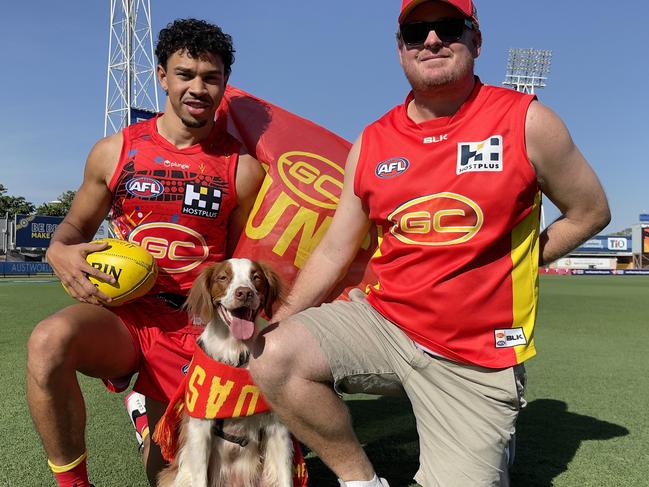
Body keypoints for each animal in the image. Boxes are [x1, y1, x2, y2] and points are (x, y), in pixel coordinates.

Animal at [156, 258, 292, 486]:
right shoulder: (199, 428)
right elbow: (200, 478)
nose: (244, 293)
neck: (235, 355)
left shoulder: (277, 428)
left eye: (256, 277)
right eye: (223, 277)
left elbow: (285, 476)